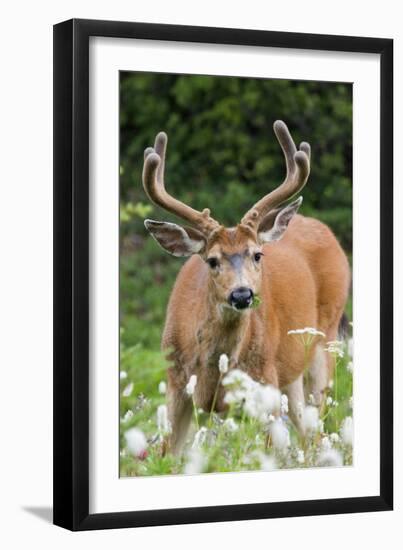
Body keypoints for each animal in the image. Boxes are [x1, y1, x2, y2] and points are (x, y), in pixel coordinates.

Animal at [141, 122, 350, 458]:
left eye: (257, 255)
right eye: (212, 260)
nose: (242, 294)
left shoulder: (265, 381)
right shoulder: (175, 382)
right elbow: (167, 454)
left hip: (324, 341)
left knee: (316, 432)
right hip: (290, 376)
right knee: (306, 432)